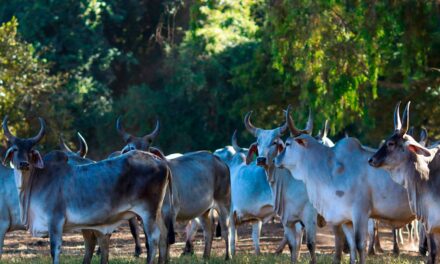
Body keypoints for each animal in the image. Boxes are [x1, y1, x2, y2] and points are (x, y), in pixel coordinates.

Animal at [2, 117, 174, 264]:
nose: (24, 164)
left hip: (148, 212)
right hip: (157, 212)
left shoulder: (55, 221)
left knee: (153, 238)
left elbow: (55, 250)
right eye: (15, 149)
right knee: (164, 234)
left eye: (31, 151)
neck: (37, 179)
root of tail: (161, 162)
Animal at [242, 110, 322, 262]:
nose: (261, 159)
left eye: (274, 142)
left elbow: (311, 245)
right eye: (258, 143)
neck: (289, 182)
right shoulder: (288, 221)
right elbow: (292, 246)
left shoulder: (309, 218)